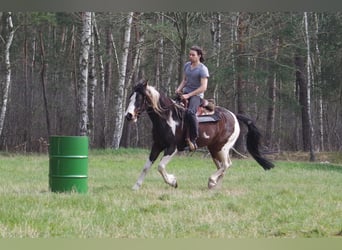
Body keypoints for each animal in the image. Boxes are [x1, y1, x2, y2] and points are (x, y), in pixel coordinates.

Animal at [124, 79, 274, 189]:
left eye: (139, 98)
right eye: (130, 97)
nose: (129, 115)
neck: (168, 117)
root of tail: (234, 116)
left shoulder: (173, 148)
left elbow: (160, 167)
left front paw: (173, 182)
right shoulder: (157, 145)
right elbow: (146, 167)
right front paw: (136, 186)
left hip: (223, 147)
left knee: (226, 164)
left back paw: (212, 180)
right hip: (214, 149)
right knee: (222, 166)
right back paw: (215, 185)